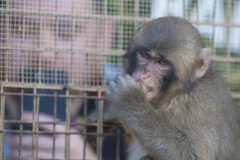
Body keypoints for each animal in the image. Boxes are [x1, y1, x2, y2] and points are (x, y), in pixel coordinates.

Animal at [105, 16, 240, 160]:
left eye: (162, 62)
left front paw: (129, 98)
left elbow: (192, 155)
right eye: (145, 55)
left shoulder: (200, 107)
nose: (144, 74)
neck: (179, 93)